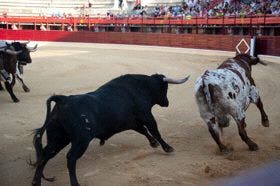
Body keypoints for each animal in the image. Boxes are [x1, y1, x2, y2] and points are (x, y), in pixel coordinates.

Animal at [31, 73, 190, 186]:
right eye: (165, 88)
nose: (167, 103)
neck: (141, 87)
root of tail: (63, 100)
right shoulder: (146, 116)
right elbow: (154, 130)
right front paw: (167, 148)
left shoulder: (132, 122)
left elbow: (144, 131)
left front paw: (153, 143)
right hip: (81, 141)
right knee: (70, 158)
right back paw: (75, 183)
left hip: (58, 138)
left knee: (44, 156)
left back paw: (36, 182)